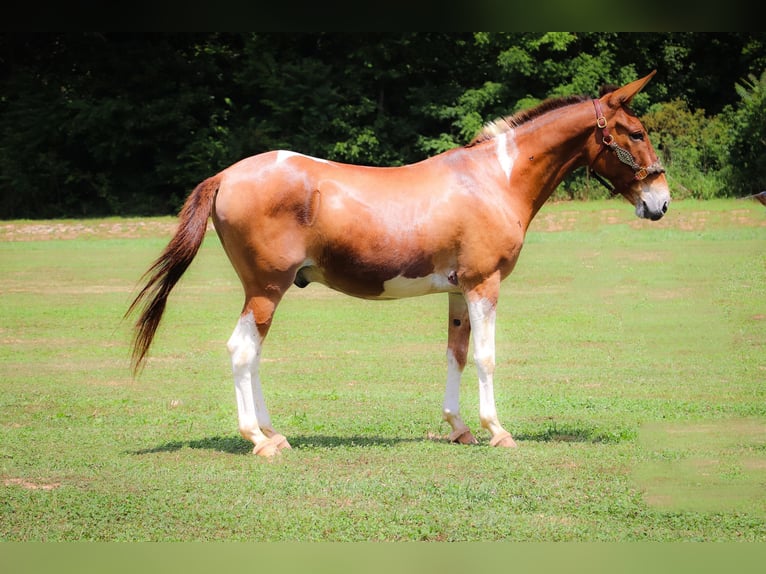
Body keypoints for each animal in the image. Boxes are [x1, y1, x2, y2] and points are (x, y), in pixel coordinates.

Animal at [126, 71, 670, 457]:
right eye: (635, 132)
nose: (660, 202)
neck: (494, 178)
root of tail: (226, 175)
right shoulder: (484, 284)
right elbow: (486, 357)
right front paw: (497, 431)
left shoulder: (458, 290)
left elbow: (455, 354)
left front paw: (460, 428)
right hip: (265, 288)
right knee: (242, 351)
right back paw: (259, 440)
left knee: (251, 354)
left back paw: (273, 433)